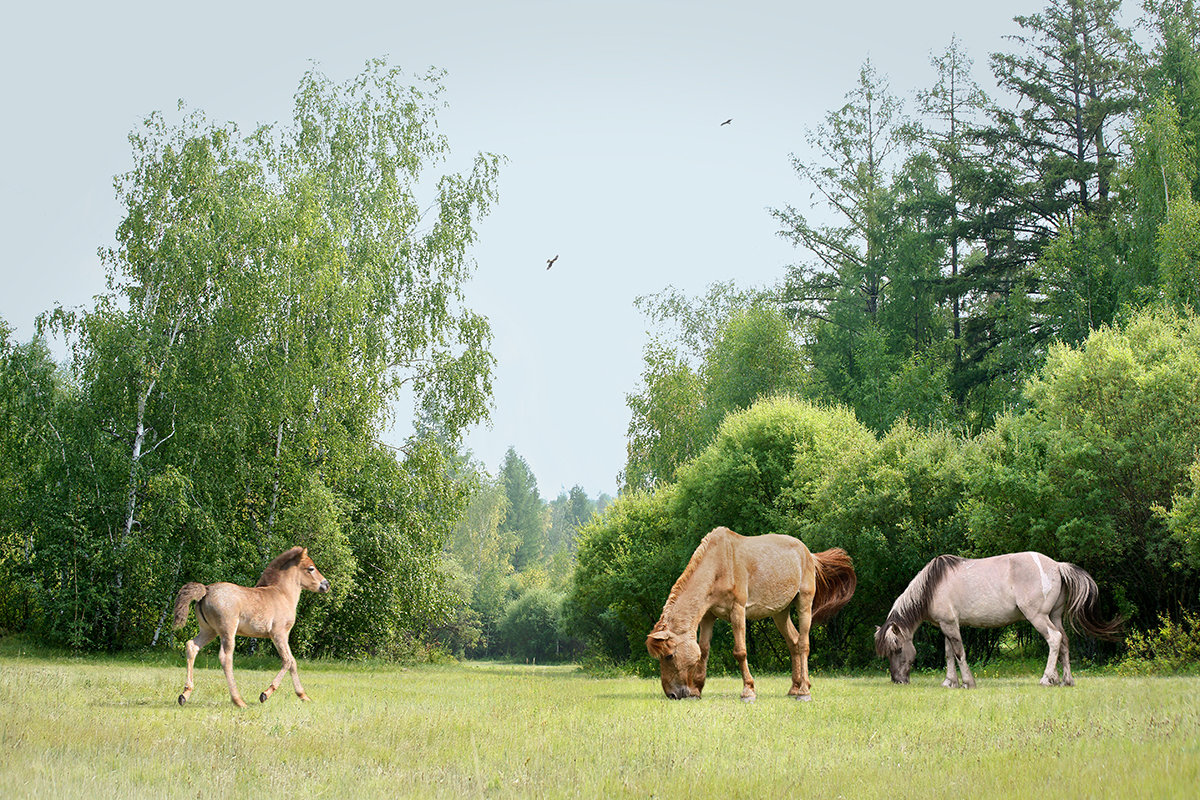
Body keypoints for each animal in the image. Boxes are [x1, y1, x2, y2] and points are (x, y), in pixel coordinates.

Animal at [169, 544, 328, 705]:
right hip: (227, 631)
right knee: (226, 657)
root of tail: (206, 590)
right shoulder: (279, 633)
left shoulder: (284, 635)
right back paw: (238, 700)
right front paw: (265, 694)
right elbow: (287, 661)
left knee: (191, 646)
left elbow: (293, 662)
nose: (326, 584)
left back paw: (185, 694)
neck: (282, 594)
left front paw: (303, 695)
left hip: (209, 631)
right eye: (311, 568)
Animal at [648, 527, 854, 705]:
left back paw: (804, 691)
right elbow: (704, 650)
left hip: (804, 603)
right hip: (780, 613)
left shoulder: (737, 611)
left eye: (669, 656)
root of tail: (809, 554)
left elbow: (740, 651)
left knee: (803, 644)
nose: (672, 694)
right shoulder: (708, 616)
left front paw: (748, 691)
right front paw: (696, 690)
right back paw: (795, 687)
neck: (719, 565)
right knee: (793, 642)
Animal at [873, 551, 1123, 690]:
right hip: (1054, 616)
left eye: (897, 649)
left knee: (1054, 639)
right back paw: (1065, 681)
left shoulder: (951, 626)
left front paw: (968, 682)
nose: (897, 680)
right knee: (1064, 642)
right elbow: (949, 654)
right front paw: (949, 682)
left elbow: (959, 653)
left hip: (1038, 617)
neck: (933, 585)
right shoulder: (946, 626)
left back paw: (1046, 679)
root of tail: (1057, 565)